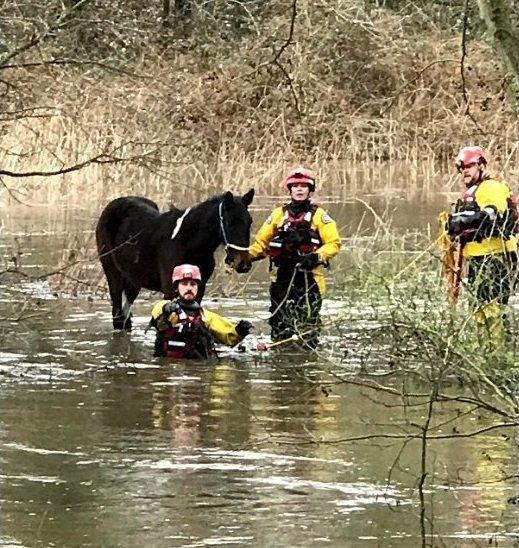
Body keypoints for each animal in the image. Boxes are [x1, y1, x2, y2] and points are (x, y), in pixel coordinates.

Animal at [96, 191, 255, 330]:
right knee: (118, 316)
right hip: (113, 273)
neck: (188, 243)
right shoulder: (170, 291)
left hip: (133, 279)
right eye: (230, 222)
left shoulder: (199, 289)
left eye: (250, 221)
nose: (243, 264)